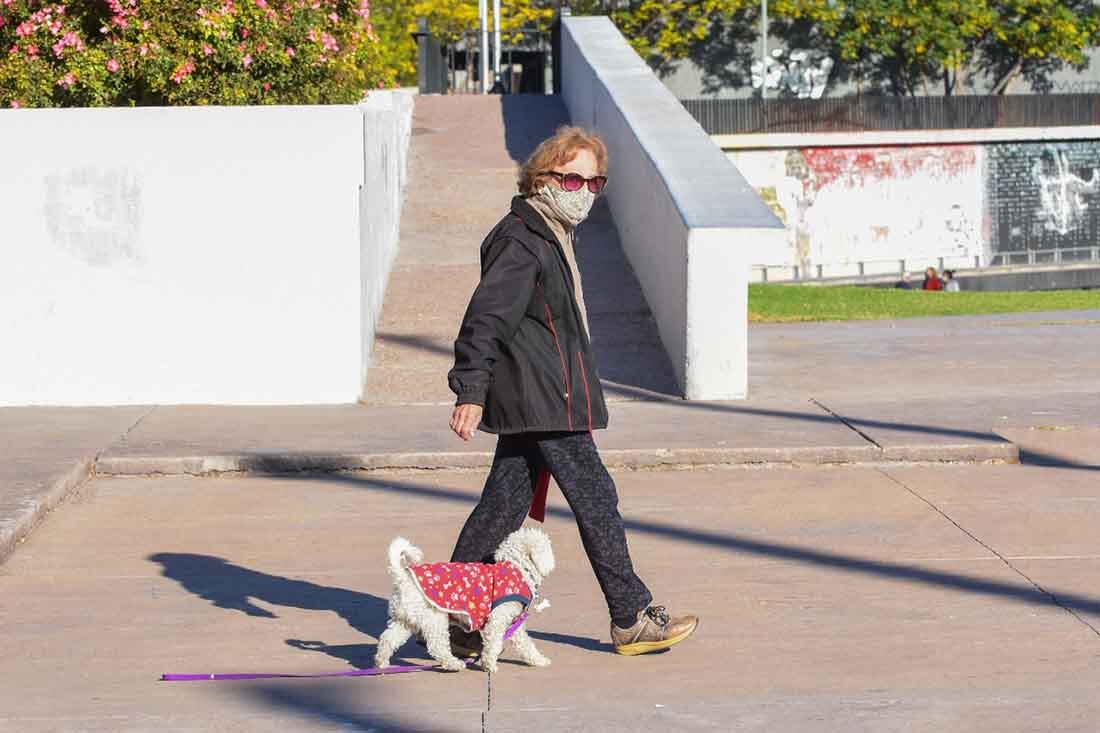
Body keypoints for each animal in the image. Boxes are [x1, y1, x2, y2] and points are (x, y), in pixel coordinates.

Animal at [378, 526, 554, 673]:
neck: (518, 569)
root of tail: (403, 578)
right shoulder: (497, 621)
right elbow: (493, 644)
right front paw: (489, 665)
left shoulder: (514, 624)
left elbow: (526, 644)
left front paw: (538, 660)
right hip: (434, 618)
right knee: (437, 647)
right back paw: (454, 664)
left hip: (404, 620)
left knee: (387, 640)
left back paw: (382, 664)